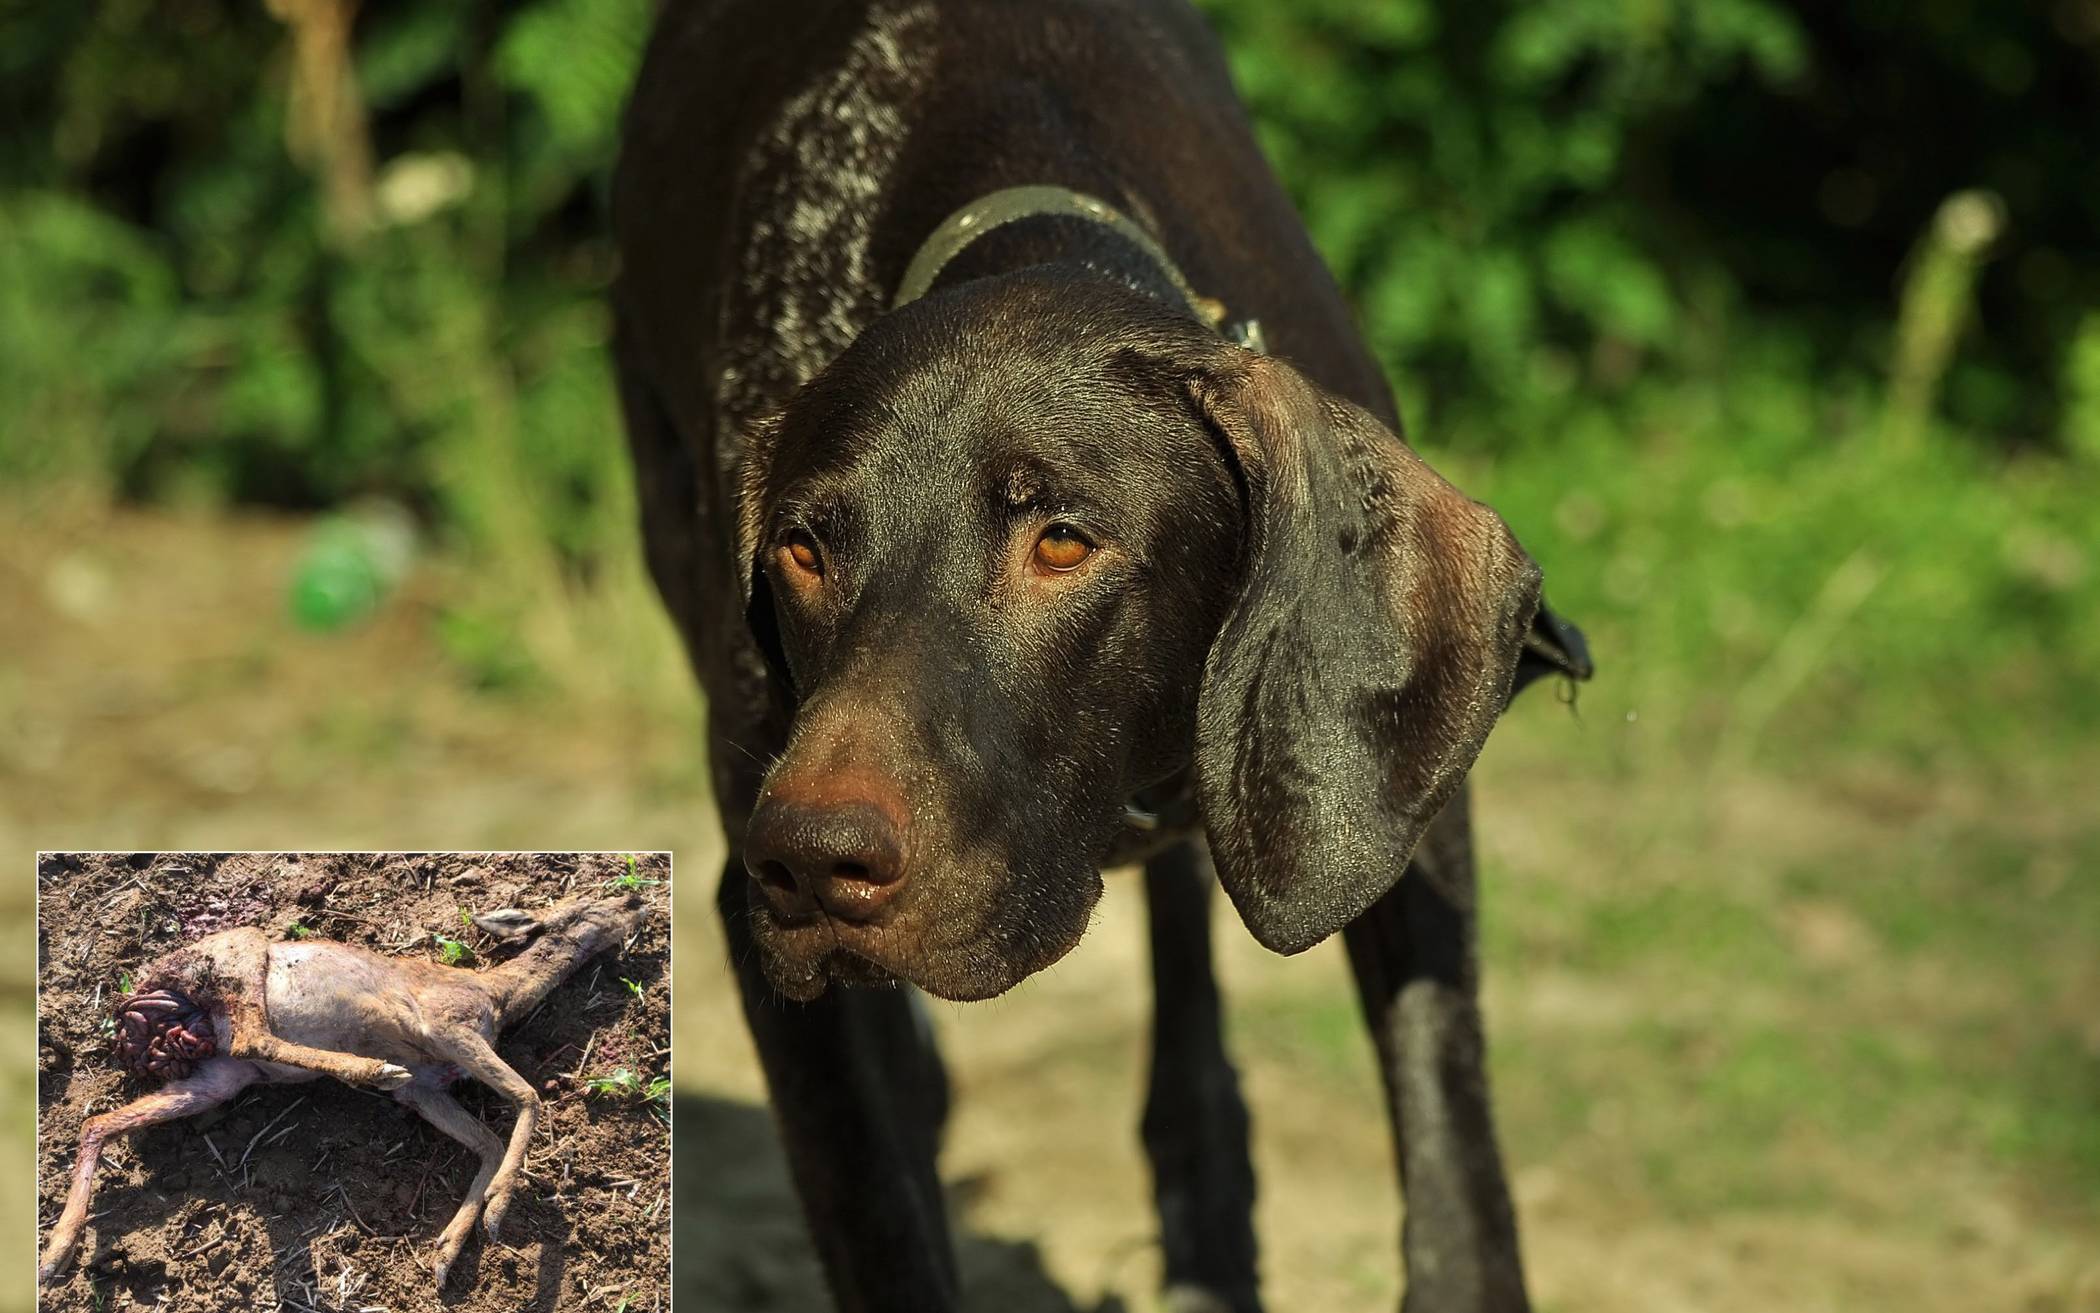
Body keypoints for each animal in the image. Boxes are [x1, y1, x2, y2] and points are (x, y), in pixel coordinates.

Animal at [38, 886, 646, 1285]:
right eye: (587, 906)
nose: (636, 900)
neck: (498, 997)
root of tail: (138, 1009)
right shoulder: (446, 1026)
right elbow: (529, 1097)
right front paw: (497, 1212)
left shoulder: (428, 1088)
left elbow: (489, 1141)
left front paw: (446, 1252)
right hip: (237, 960)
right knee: (255, 1037)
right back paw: (369, 1069)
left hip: (217, 1074)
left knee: (98, 1121)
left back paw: (54, 1255)